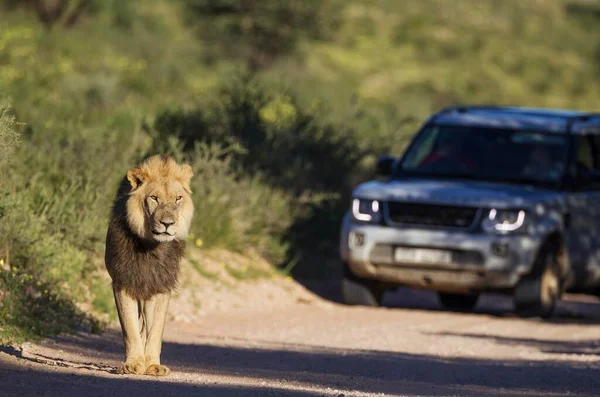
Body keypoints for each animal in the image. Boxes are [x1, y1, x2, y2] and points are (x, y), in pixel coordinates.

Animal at [105, 154, 195, 374]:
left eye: (178, 198)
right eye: (154, 198)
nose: (168, 223)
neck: (151, 246)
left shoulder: (160, 285)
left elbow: (155, 329)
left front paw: (153, 364)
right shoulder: (124, 281)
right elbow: (130, 328)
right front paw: (133, 363)